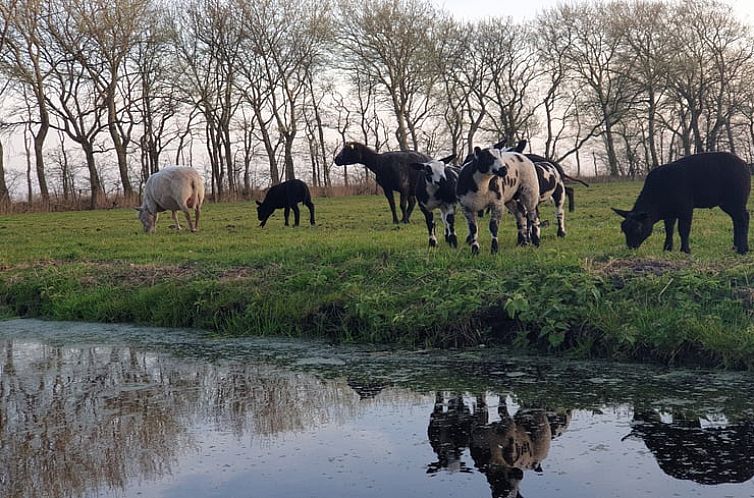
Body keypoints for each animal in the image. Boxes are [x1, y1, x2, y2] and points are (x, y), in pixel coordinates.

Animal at [612, 151, 748, 253]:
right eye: (623, 229)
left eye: (638, 228)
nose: (631, 247)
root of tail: (744, 164)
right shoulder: (669, 212)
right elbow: (669, 229)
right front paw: (667, 248)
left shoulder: (686, 207)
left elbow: (683, 229)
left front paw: (685, 250)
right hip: (727, 203)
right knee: (736, 220)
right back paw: (736, 246)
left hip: (736, 198)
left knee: (743, 218)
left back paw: (743, 249)